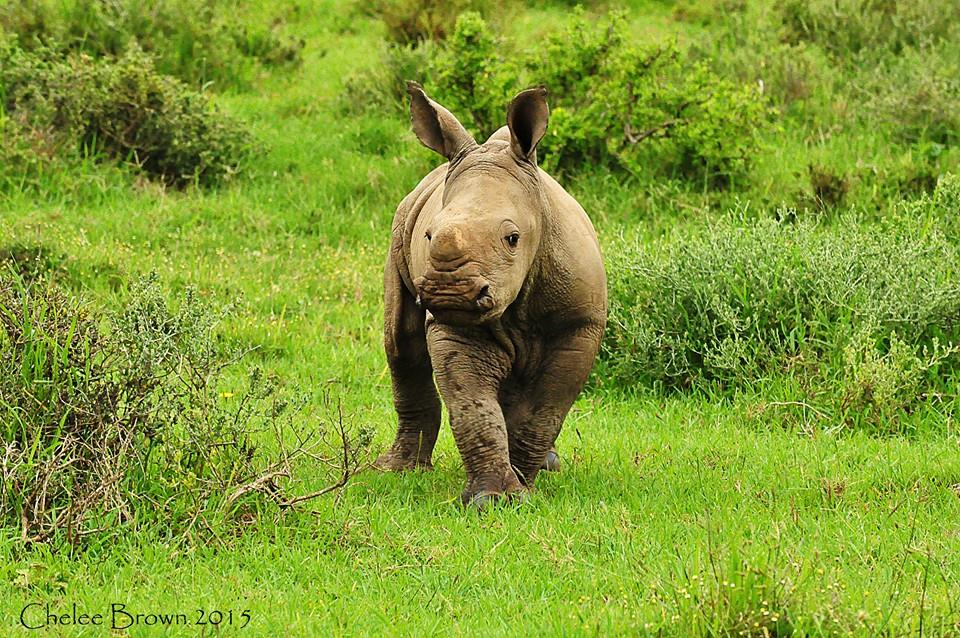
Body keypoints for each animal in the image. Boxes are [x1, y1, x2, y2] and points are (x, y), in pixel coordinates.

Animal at [376, 82, 608, 510]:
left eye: (512, 238)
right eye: (429, 236)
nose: (449, 291)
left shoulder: (579, 325)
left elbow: (545, 409)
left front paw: (521, 485)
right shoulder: (453, 326)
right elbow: (473, 405)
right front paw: (494, 498)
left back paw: (548, 465)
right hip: (399, 227)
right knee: (401, 341)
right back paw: (398, 470)